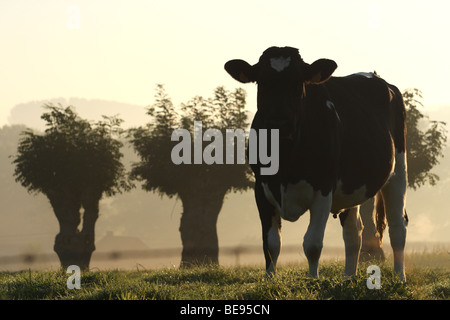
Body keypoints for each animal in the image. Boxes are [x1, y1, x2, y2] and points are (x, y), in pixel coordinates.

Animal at [224, 47, 408, 280]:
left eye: (298, 81)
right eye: (261, 81)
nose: (279, 122)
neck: (285, 159)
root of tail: (375, 76)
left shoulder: (323, 187)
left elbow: (312, 244)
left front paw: (313, 280)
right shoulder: (261, 188)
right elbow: (271, 244)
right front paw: (269, 279)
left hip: (398, 171)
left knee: (397, 227)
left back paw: (400, 278)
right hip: (352, 186)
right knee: (354, 232)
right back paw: (348, 278)